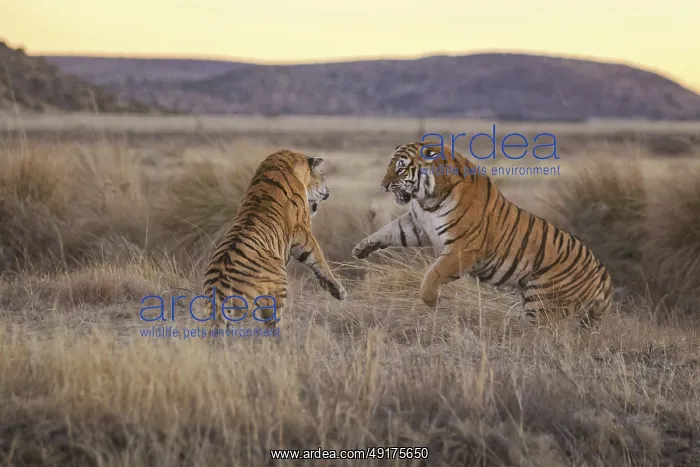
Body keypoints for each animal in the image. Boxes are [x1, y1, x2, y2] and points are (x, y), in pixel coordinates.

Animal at [202, 149, 347, 334]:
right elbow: (317, 257)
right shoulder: (302, 230)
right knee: (271, 324)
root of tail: (219, 290)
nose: (328, 191)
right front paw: (338, 290)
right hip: (278, 285)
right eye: (322, 174)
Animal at [352, 141, 613, 329]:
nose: (384, 185)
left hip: (543, 302)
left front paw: (432, 302)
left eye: (400, 168)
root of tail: (602, 272)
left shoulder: (462, 248)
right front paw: (362, 247)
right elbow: (390, 231)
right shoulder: (417, 225)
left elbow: (433, 274)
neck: (427, 200)